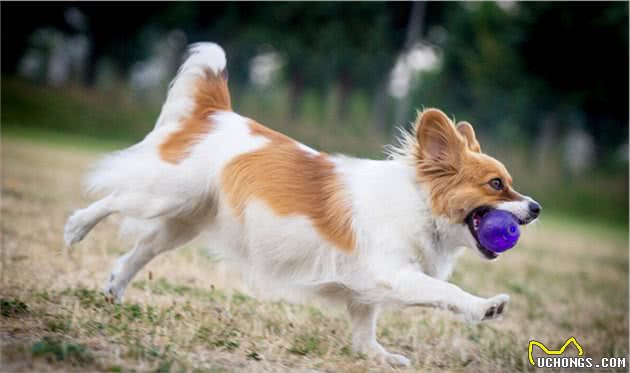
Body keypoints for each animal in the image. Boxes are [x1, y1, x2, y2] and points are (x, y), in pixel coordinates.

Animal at [64, 42, 540, 364]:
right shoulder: (395, 275)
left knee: (140, 250)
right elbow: (446, 292)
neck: (420, 204)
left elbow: (364, 330)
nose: (535, 208)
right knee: (113, 197)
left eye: (511, 185)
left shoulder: (365, 290)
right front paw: (485, 307)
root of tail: (216, 113)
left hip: (182, 222)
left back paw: (114, 288)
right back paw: (76, 228)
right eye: (496, 184)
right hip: (164, 194)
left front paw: (379, 357)